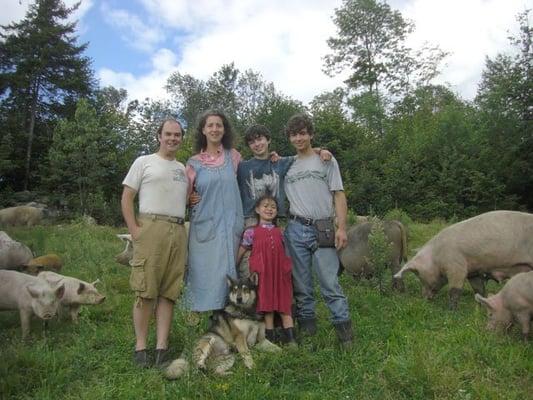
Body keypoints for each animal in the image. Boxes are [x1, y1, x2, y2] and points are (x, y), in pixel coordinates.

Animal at [394, 212, 532, 310]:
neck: (436, 257)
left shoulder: (457, 266)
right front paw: (480, 308)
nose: (424, 298)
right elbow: (479, 289)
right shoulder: (473, 271)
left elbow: (455, 290)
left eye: (419, 276)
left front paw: (451, 311)